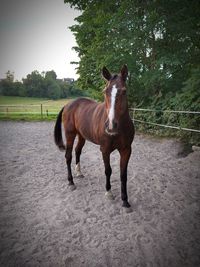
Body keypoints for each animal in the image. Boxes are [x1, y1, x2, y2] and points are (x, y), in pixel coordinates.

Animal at [53, 65, 134, 209]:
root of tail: (68, 104)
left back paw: (79, 173)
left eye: (124, 91)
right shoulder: (105, 150)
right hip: (70, 134)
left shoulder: (126, 150)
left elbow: (123, 174)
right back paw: (71, 182)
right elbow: (108, 170)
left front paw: (125, 200)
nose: (111, 125)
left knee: (77, 151)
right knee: (68, 156)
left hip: (81, 136)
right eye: (105, 91)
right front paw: (109, 193)